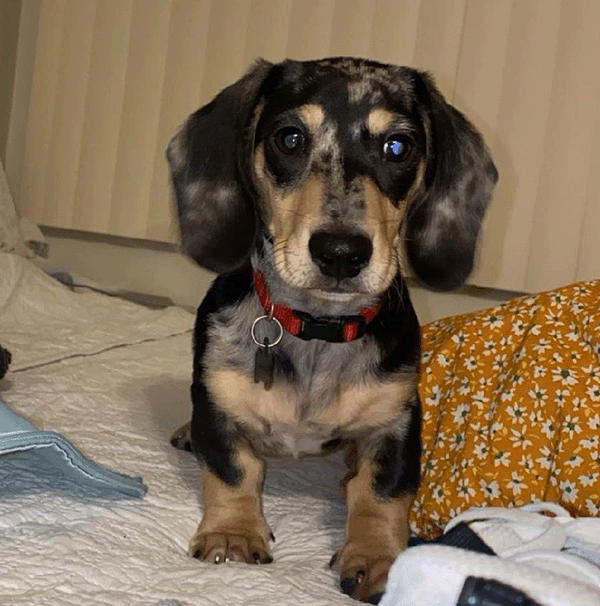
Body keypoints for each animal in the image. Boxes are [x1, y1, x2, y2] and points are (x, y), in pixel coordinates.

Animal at [168, 55, 496, 604]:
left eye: (398, 146)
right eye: (290, 139)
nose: (341, 253)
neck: (317, 329)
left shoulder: (397, 421)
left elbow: (381, 493)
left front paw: (378, 557)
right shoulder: (216, 401)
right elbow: (234, 468)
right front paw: (233, 532)